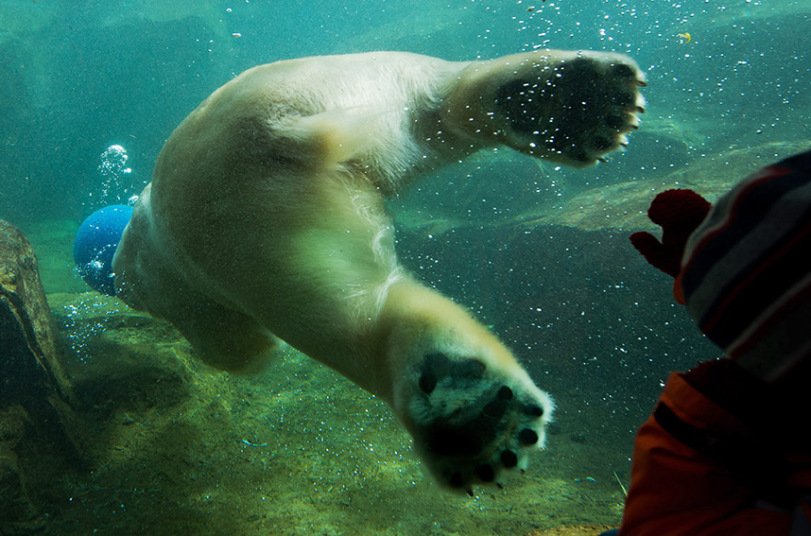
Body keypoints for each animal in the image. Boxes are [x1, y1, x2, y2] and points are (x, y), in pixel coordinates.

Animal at [114, 49, 648, 490]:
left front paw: (248, 356)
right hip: (345, 106)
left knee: (328, 312)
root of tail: (282, 128)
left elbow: (230, 346)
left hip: (232, 229)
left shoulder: (175, 291)